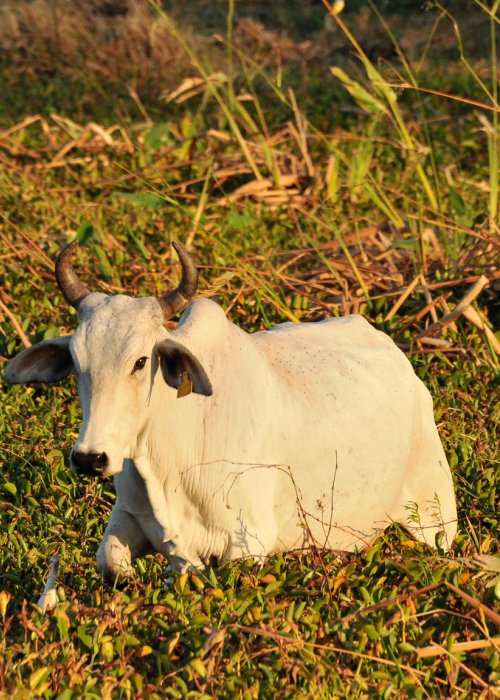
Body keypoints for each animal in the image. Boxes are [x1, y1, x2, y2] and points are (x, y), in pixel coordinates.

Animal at [4, 241, 457, 582]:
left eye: (140, 362)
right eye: (76, 362)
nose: (90, 458)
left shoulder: (248, 544)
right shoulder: (127, 517)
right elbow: (112, 563)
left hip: (436, 517)